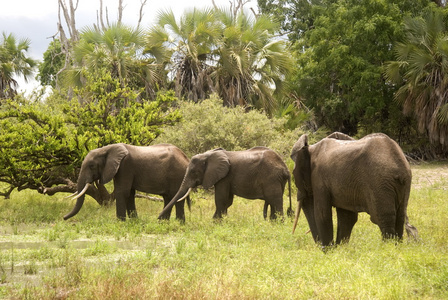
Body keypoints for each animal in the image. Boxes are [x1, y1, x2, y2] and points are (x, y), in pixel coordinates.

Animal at [159, 146, 292, 219]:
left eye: (193, 172)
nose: (158, 219)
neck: (208, 155)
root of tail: (285, 168)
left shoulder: (224, 177)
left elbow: (221, 199)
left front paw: (216, 222)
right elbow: (227, 201)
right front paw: (220, 220)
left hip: (272, 178)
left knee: (275, 201)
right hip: (277, 180)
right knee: (273, 201)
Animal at [288, 132, 418, 247]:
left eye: (294, 174)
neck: (311, 148)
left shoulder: (319, 179)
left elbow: (322, 214)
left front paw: (329, 252)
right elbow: (347, 218)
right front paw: (340, 250)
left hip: (379, 183)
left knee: (383, 219)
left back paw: (388, 249)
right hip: (403, 183)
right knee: (400, 217)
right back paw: (396, 248)